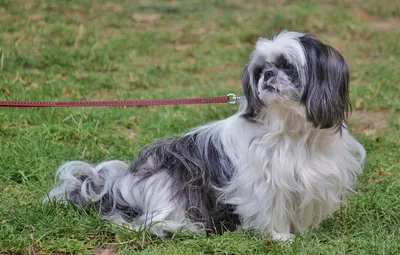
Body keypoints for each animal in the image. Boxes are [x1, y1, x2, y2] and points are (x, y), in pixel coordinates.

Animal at [47, 30, 366, 241]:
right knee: (134, 222)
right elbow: (272, 210)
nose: (268, 75)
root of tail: (117, 184)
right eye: (260, 69)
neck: (291, 128)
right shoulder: (264, 182)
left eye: (287, 65)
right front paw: (281, 238)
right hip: (170, 183)